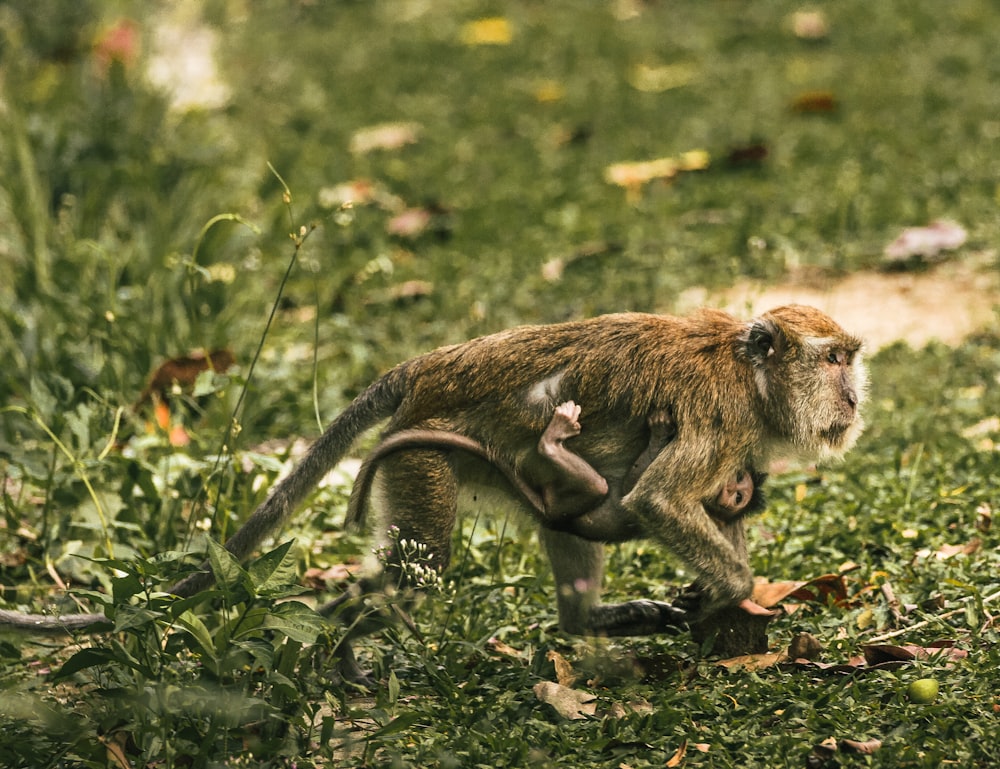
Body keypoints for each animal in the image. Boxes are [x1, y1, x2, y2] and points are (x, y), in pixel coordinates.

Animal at [0, 304, 864, 640]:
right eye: (832, 361)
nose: (856, 394)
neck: (750, 376)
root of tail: (427, 367)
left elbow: (711, 508)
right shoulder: (722, 420)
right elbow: (659, 498)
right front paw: (733, 593)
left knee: (564, 512)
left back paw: (587, 622)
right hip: (420, 457)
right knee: (416, 569)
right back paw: (342, 649)